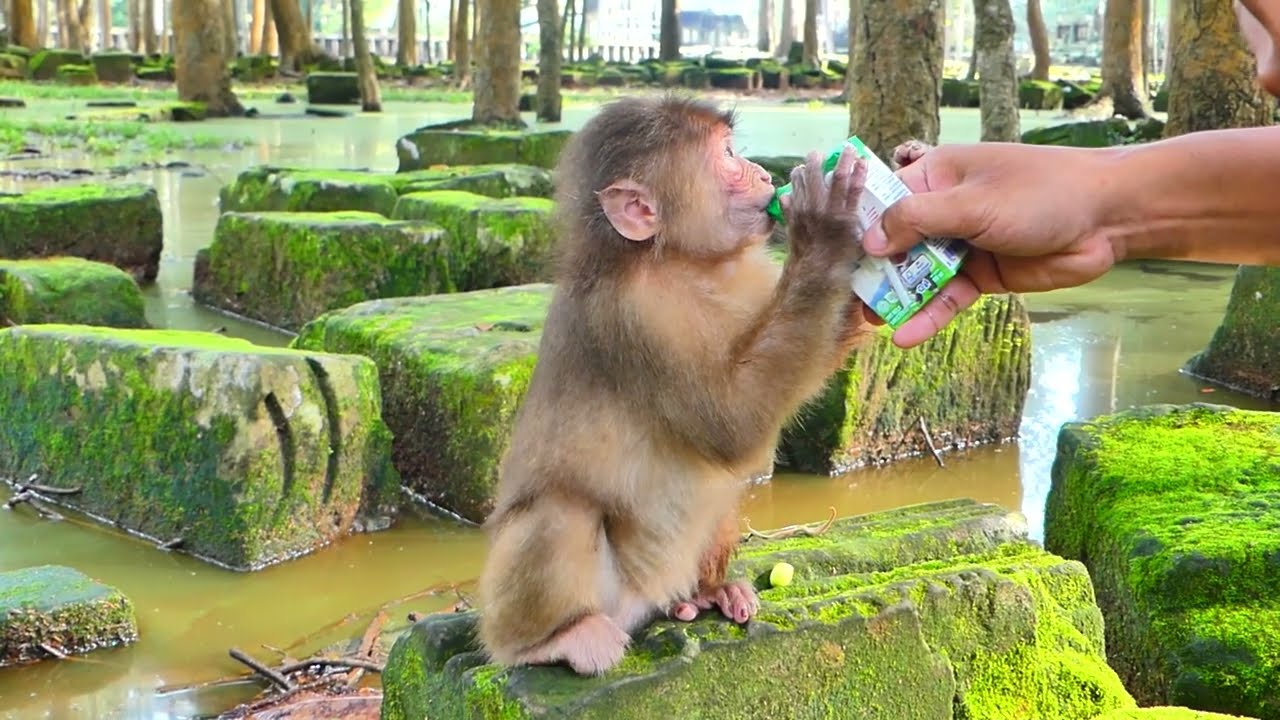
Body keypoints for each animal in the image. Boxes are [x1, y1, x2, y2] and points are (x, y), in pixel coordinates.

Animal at [475, 93, 876, 677]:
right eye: (727, 156)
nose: (764, 174)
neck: (683, 263)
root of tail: (643, 601)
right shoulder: (636, 317)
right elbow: (732, 427)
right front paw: (827, 229)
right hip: (583, 598)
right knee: (559, 514)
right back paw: (550, 640)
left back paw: (705, 592)